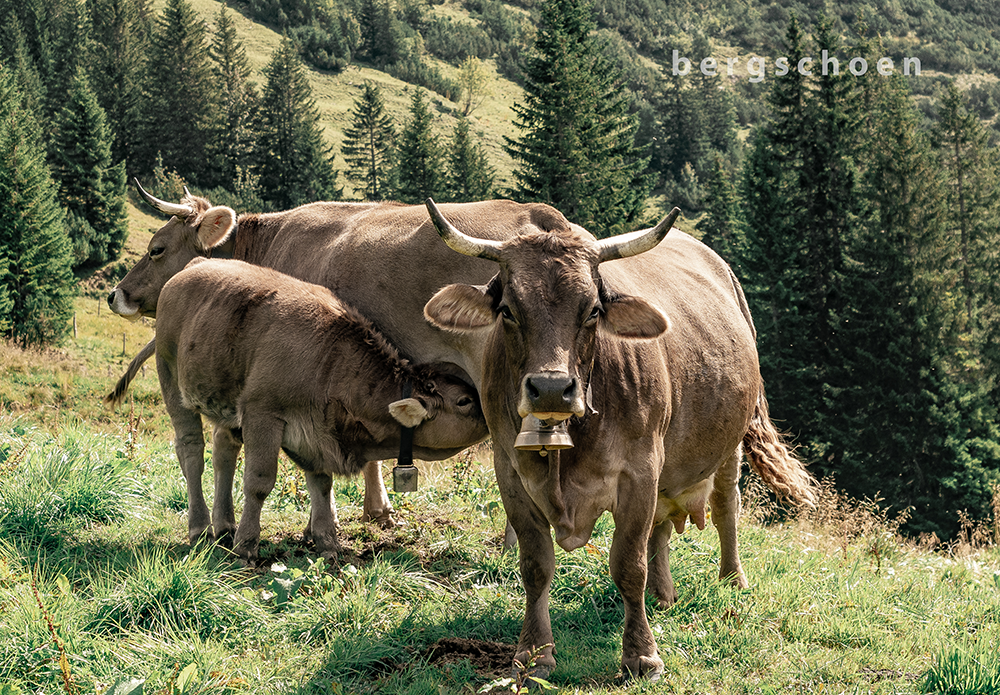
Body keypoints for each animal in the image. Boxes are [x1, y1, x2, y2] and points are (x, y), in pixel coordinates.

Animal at [113, 258, 488, 564]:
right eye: (464, 401)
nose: (489, 413)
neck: (329, 357)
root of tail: (193, 266)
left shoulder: (316, 431)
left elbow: (321, 484)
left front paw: (327, 543)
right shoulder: (262, 415)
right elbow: (259, 482)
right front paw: (247, 546)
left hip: (227, 406)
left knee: (223, 452)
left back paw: (225, 524)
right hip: (172, 382)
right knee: (191, 450)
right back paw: (201, 527)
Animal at [422, 198, 820, 684]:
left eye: (592, 309)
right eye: (509, 310)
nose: (551, 389)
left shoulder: (638, 470)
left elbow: (630, 565)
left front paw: (641, 655)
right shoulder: (509, 471)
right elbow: (536, 565)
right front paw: (534, 654)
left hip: (729, 442)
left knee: (727, 507)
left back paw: (732, 580)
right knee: (662, 525)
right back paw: (664, 594)